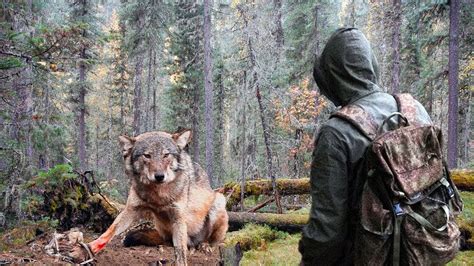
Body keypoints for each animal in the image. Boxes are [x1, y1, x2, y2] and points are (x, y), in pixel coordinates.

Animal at [72, 130, 230, 264]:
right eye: (147, 156)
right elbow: (108, 232)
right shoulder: (130, 210)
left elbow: (180, 251)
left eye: (166, 155)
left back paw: (205, 245)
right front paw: (87, 249)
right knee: (168, 242)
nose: (159, 176)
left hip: (219, 201)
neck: (157, 195)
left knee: (213, 241)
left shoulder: (178, 218)